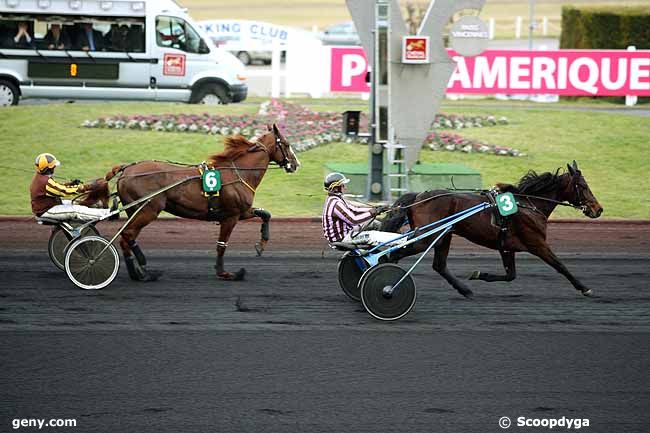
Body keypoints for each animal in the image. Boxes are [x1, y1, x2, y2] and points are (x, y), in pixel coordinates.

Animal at [104, 123, 302, 282]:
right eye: (286, 144)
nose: (295, 164)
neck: (238, 173)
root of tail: (126, 170)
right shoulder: (231, 217)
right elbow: (221, 246)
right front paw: (225, 273)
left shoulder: (242, 212)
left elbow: (265, 214)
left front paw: (261, 244)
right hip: (149, 210)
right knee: (128, 234)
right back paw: (144, 270)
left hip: (136, 211)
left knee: (126, 238)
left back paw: (138, 273)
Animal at [380, 160, 604, 298]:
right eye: (583, 186)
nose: (598, 209)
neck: (528, 204)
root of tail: (418, 196)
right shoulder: (537, 243)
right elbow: (560, 266)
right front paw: (585, 288)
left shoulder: (506, 247)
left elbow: (510, 275)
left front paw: (479, 274)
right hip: (427, 237)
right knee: (393, 254)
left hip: (443, 236)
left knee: (439, 265)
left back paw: (466, 290)